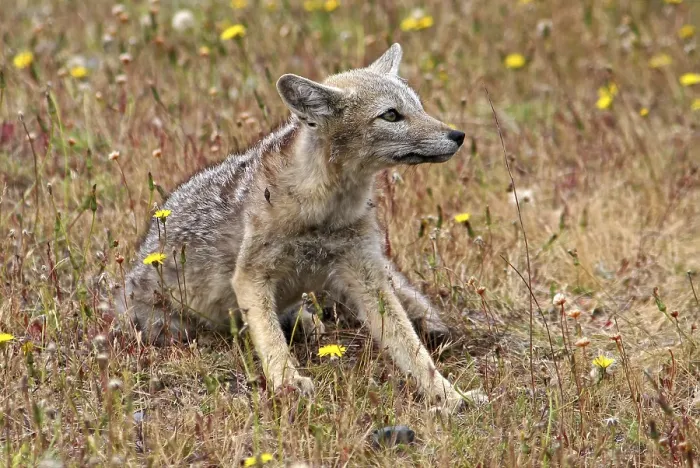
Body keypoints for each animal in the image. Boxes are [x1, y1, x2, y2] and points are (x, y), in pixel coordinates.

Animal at [116, 43, 485, 410]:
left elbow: (413, 350)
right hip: (172, 327)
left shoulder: (367, 276)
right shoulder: (251, 276)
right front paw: (287, 381)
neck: (325, 210)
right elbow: (269, 339)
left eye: (419, 107)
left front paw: (451, 395)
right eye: (392, 115)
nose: (458, 135)